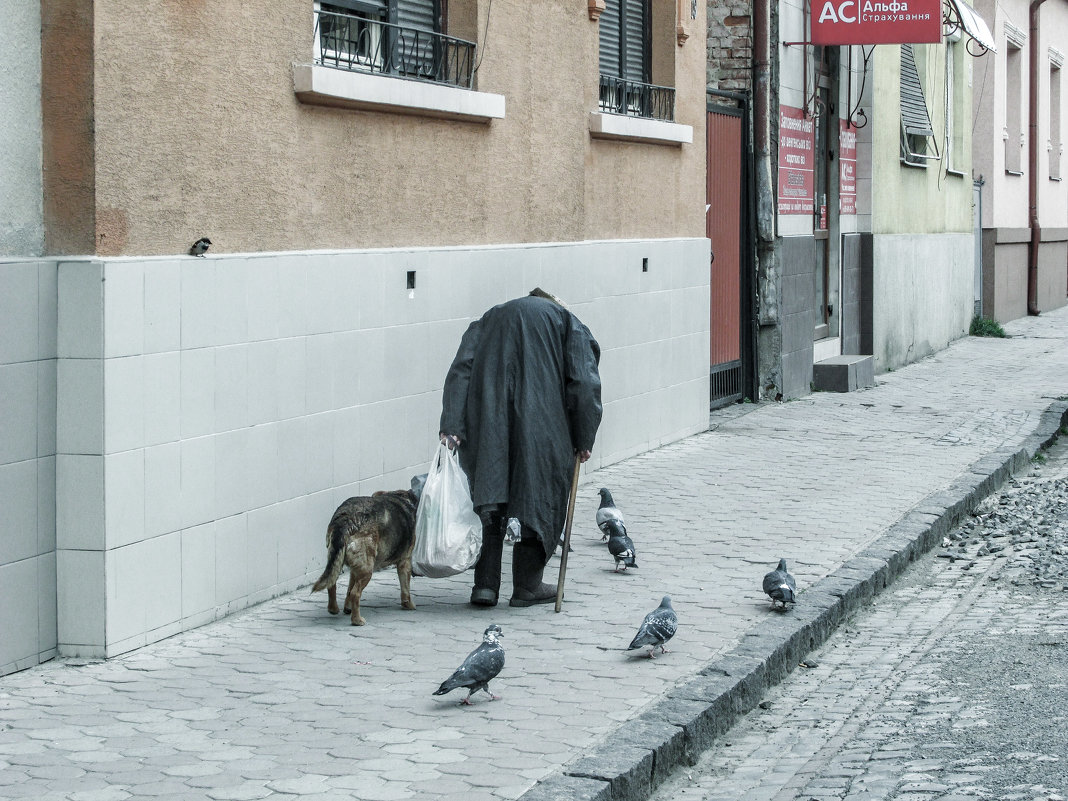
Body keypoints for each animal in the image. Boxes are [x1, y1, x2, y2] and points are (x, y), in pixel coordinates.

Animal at [311, 476, 422, 627]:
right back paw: (357, 620)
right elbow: (406, 589)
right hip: (368, 569)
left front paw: (347, 608)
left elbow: (348, 589)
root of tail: (347, 519)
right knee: (355, 593)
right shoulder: (404, 562)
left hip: (338, 560)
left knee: (332, 584)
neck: (401, 497)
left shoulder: (354, 569)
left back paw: (334, 609)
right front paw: (409, 605)